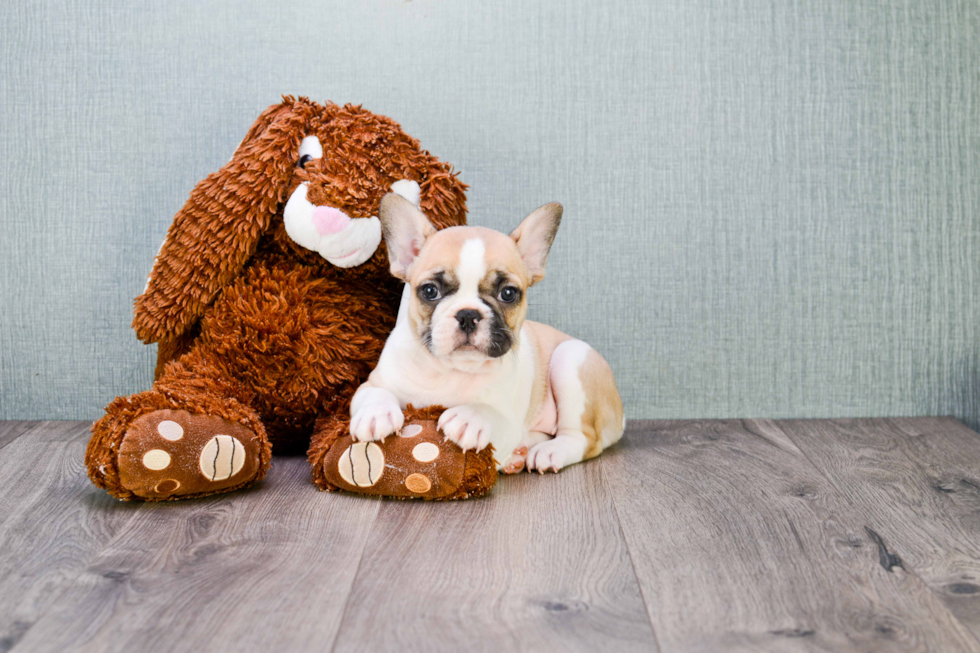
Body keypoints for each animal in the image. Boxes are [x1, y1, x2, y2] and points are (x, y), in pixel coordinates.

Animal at [350, 194, 628, 474]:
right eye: (429, 291)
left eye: (508, 293)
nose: (467, 314)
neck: (451, 370)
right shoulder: (372, 383)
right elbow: (374, 392)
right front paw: (376, 414)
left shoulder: (509, 422)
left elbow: (492, 413)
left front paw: (471, 417)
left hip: (571, 358)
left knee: (583, 438)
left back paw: (549, 452)